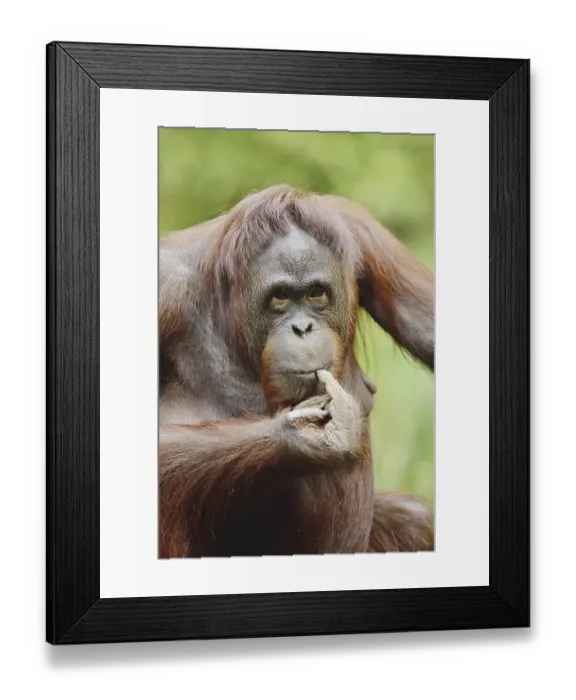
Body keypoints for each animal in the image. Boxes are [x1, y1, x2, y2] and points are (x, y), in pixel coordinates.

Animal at [158, 185, 434, 557]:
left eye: (316, 293)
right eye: (281, 296)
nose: (303, 328)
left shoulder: (363, 232)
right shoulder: (165, 287)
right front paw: (305, 436)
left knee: (415, 518)